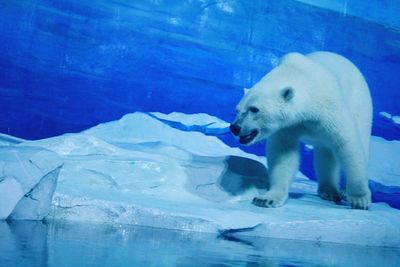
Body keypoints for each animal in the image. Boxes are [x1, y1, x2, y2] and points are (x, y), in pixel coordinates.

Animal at [230, 51, 374, 210]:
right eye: (237, 110)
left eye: (254, 109)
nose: (235, 127)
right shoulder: (288, 126)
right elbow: (283, 155)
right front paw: (267, 198)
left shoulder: (330, 109)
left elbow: (348, 145)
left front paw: (360, 200)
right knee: (325, 154)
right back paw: (329, 191)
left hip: (360, 104)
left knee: (360, 141)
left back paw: (341, 192)